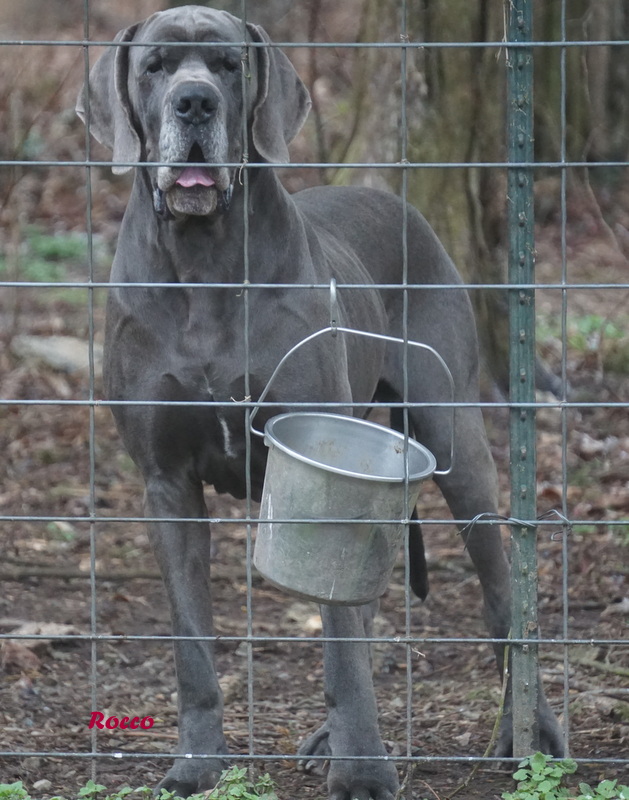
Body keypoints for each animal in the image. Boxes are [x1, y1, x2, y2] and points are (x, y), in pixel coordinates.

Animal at [75, 6, 564, 800]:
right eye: (154, 67)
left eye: (229, 65)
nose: (194, 104)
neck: (205, 261)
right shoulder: (166, 483)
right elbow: (192, 645)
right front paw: (198, 765)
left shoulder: (328, 471)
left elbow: (339, 644)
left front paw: (362, 768)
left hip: (453, 442)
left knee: (497, 600)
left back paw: (531, 736)